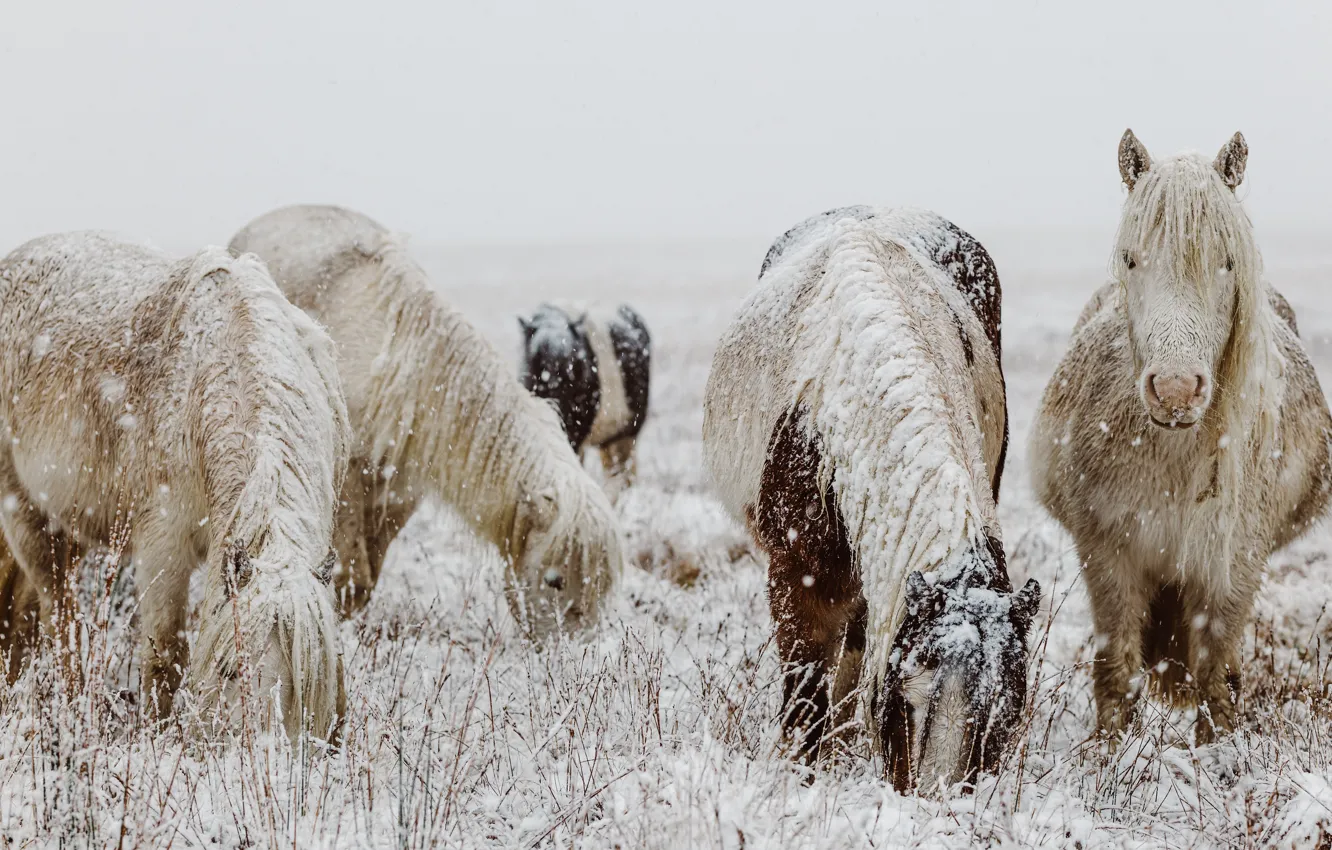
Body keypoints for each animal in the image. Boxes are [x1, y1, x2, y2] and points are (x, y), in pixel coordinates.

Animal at [0, 233, 350, 740]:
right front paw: (157, 735)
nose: (269, 756)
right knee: (57, 610)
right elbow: (164, 655)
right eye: (230, 670)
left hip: (71, 524)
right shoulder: (163, 544)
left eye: (309, 687)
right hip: (24, 512)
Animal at [229, 205, 623, 637]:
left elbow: (367, 580)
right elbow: (353, 576)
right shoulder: (348, 488)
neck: (404, 371)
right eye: (554, 580)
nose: (569, 650)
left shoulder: (401, 493)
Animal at [518, 303, 650, 493]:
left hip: (628, 432)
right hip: (609, 439)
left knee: (623, 476)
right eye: (536, 356)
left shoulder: (575, 430)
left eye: (570, 359)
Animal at [703, 207, 1040, 793]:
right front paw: (802, 777)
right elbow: (806, 695)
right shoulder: (797, 576)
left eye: (1002, 719)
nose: (939, 802)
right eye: (908, 696)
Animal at [1030, 130, 1332, 742]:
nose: (1174, 390)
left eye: (1227, 262)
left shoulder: (1234, 565)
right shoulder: (1108, 553)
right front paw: (1108, 755)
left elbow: (1216, 676)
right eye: (1132, 259)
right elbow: (1116, 669)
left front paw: (1216, 754)